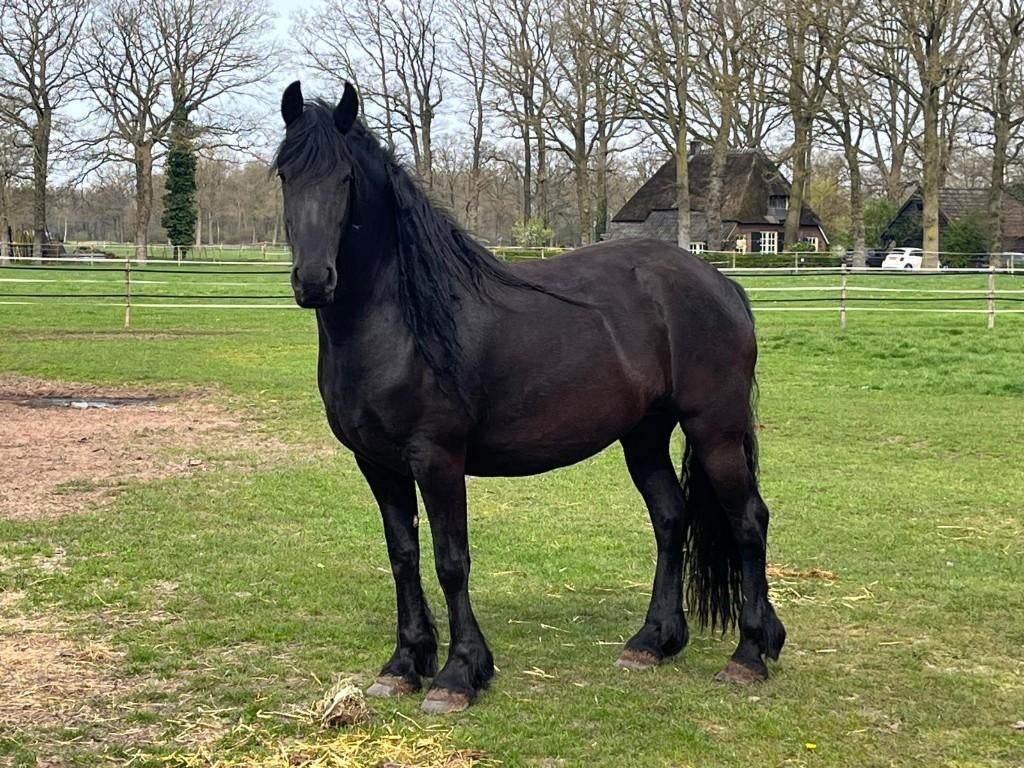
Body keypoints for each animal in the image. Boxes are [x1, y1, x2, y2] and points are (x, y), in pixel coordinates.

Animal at [274, 81, 786, 714]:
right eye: (285, 175)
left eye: (345, 178)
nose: (313, 280)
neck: (403, 323)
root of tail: (722, 283)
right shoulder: (377, 464)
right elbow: (403, 557)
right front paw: (403, 664)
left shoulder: (437, 459)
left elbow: (451, 561)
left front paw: (458, 674)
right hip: (644, 434)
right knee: (671, 517)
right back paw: (651, 642)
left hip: (715, 429)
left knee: (748, 521)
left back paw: (749, 655)